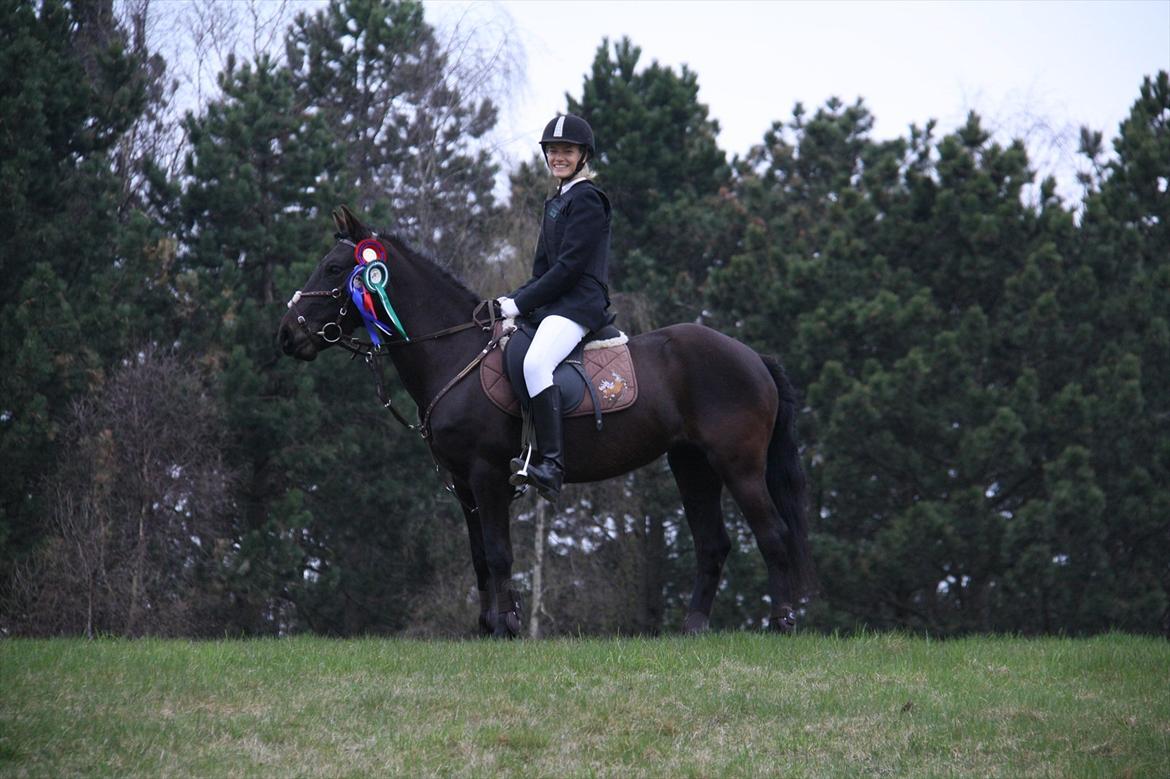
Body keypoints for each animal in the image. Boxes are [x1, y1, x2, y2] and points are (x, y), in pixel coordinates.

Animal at [277, 206, 814, 637]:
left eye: (334, 267)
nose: (287, 336)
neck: (455, 352)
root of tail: (752, 356)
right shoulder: (463, 484)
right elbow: (479, 558)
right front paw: (487, 627)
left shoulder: (486, 473)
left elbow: (498, 552)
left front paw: (506, 628)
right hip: (691, 465)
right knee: (713, 544)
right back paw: (694, 628)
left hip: (738, 464)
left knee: (773, 534)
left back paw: (781, 623)